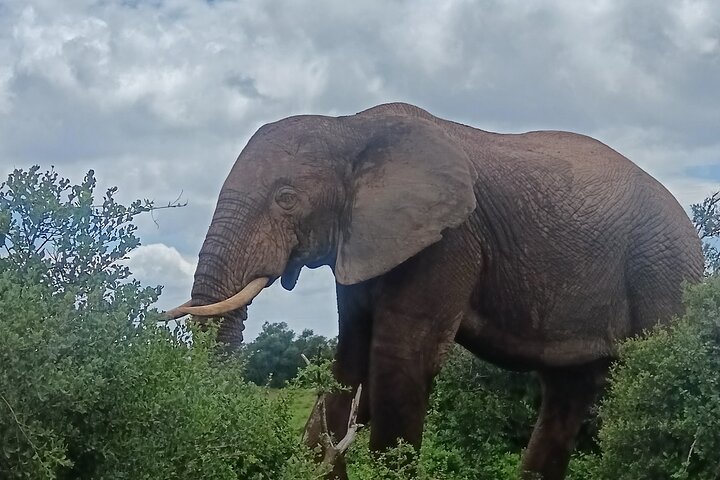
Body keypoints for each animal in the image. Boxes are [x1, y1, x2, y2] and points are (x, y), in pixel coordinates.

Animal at [166, 102, 703, 480]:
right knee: (567, 393)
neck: (351, 127)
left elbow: (400, 360)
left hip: (664, 272)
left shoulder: (448, 240)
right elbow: (349, 360)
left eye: (286, 199)